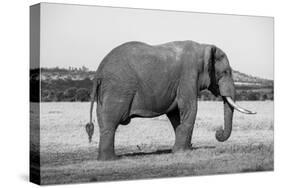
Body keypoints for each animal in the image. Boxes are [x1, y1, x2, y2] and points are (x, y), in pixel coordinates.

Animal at [86, 40, 256, 160]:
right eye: (225, 72)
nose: (218, 132)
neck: (203, 47)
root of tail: (99, 72)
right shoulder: (188, 75)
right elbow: (189, 108)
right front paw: (182, 151)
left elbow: (175, 114)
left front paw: (183, 149)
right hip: (118, 88)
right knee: (111, 122)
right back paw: (111, 160)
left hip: (106, 92)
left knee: (104, 122)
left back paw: (104, 159)